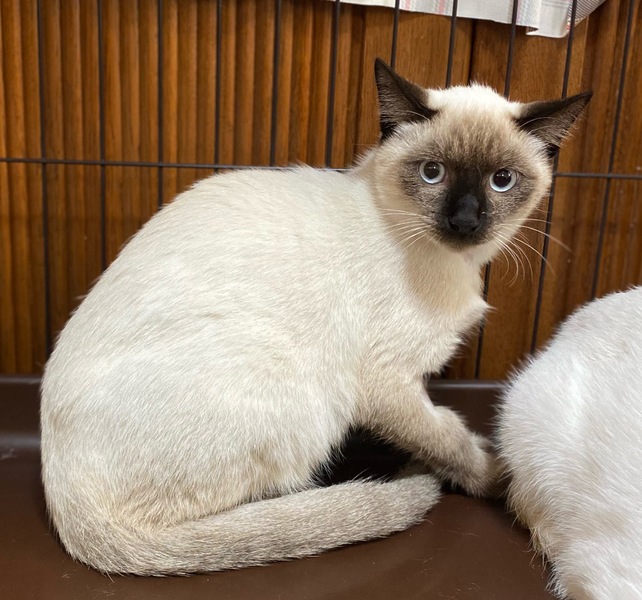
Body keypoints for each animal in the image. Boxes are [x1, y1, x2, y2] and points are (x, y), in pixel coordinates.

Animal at [40, 58, 590, 575]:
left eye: (502, 181)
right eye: (432, 173)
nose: (465, 221)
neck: (449, 262)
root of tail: (61, 492)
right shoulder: (386, 382)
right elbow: (449, 439)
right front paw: (498, 477)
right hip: (296, 387)